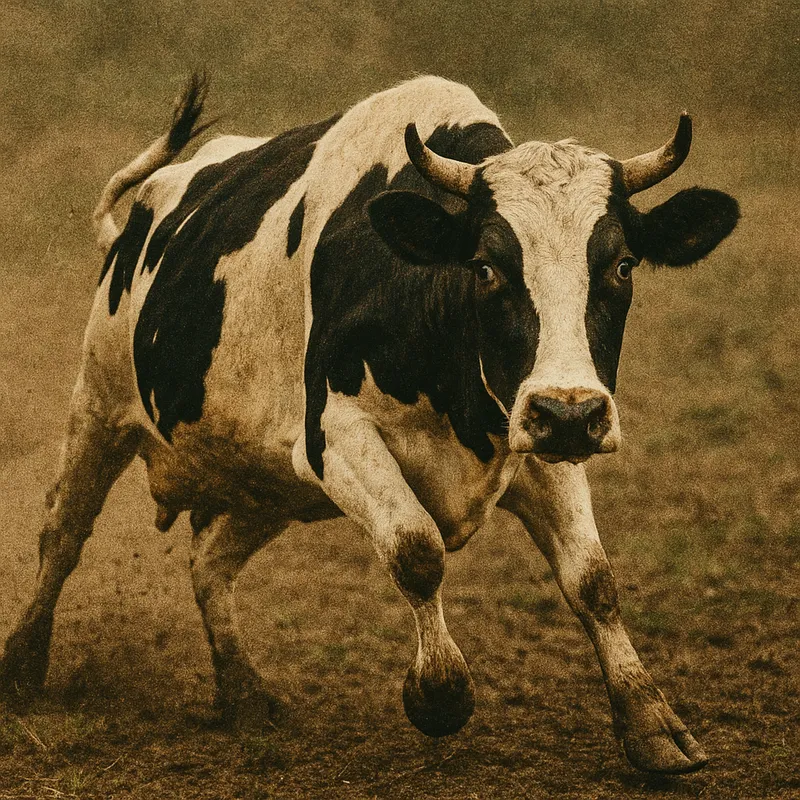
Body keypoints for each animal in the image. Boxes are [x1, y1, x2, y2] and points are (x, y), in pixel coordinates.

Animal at [0, 74, 738, 774]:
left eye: (622, 265)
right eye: (485, 266)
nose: (571, 415)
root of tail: (134, 219)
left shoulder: (532, 440)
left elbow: (594, 581)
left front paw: (653, 726)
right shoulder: (337, 438)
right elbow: (416, 549)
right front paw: (439, 692)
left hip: (267, 482)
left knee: (209, 563)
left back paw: (243, 692)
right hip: (100, 406)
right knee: (62, 534)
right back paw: (22, 669)